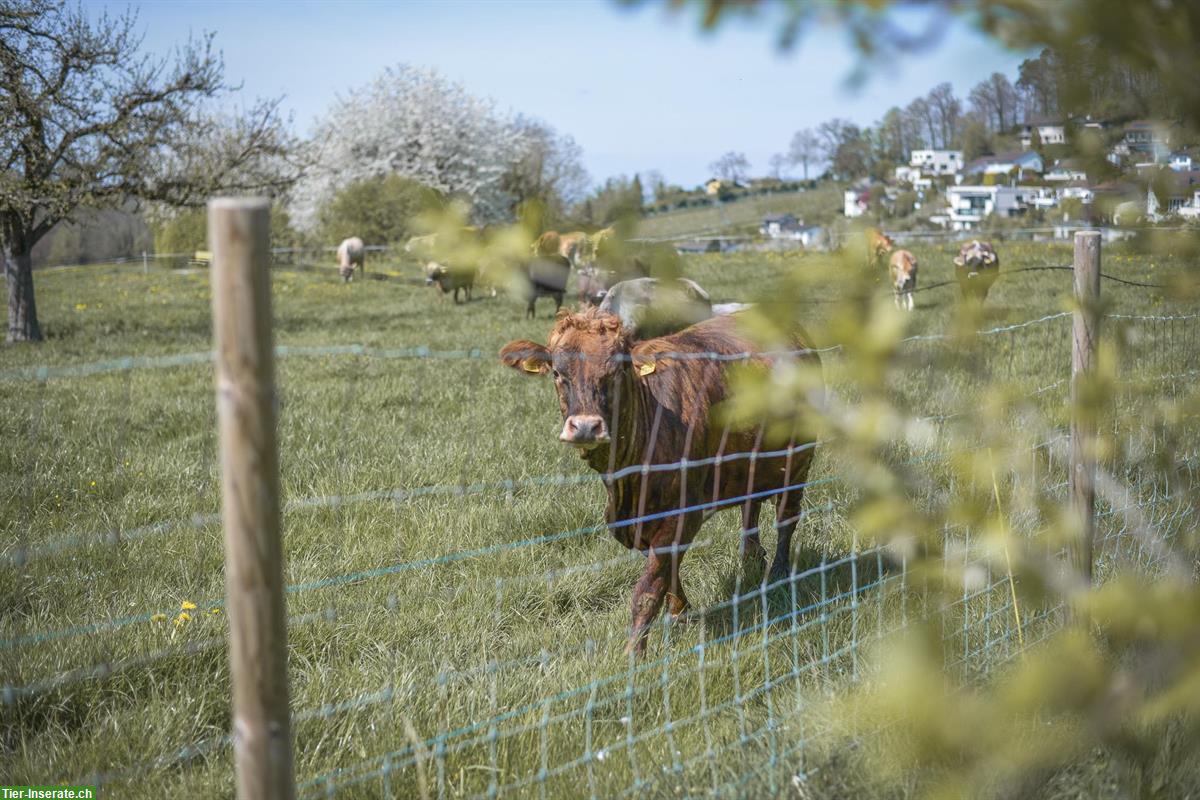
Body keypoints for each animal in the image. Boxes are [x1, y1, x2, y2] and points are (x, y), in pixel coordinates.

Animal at [494, 309, 816, 652]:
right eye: (557, 372)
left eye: (618, 370)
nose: (585, 427)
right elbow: (668, 571)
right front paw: (680, 612)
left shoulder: (683, 513)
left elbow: (649, 587)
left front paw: (634, 651)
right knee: (750, 507)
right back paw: (752, 559)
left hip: (799, 461)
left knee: (786, 519)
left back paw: (779, 572)